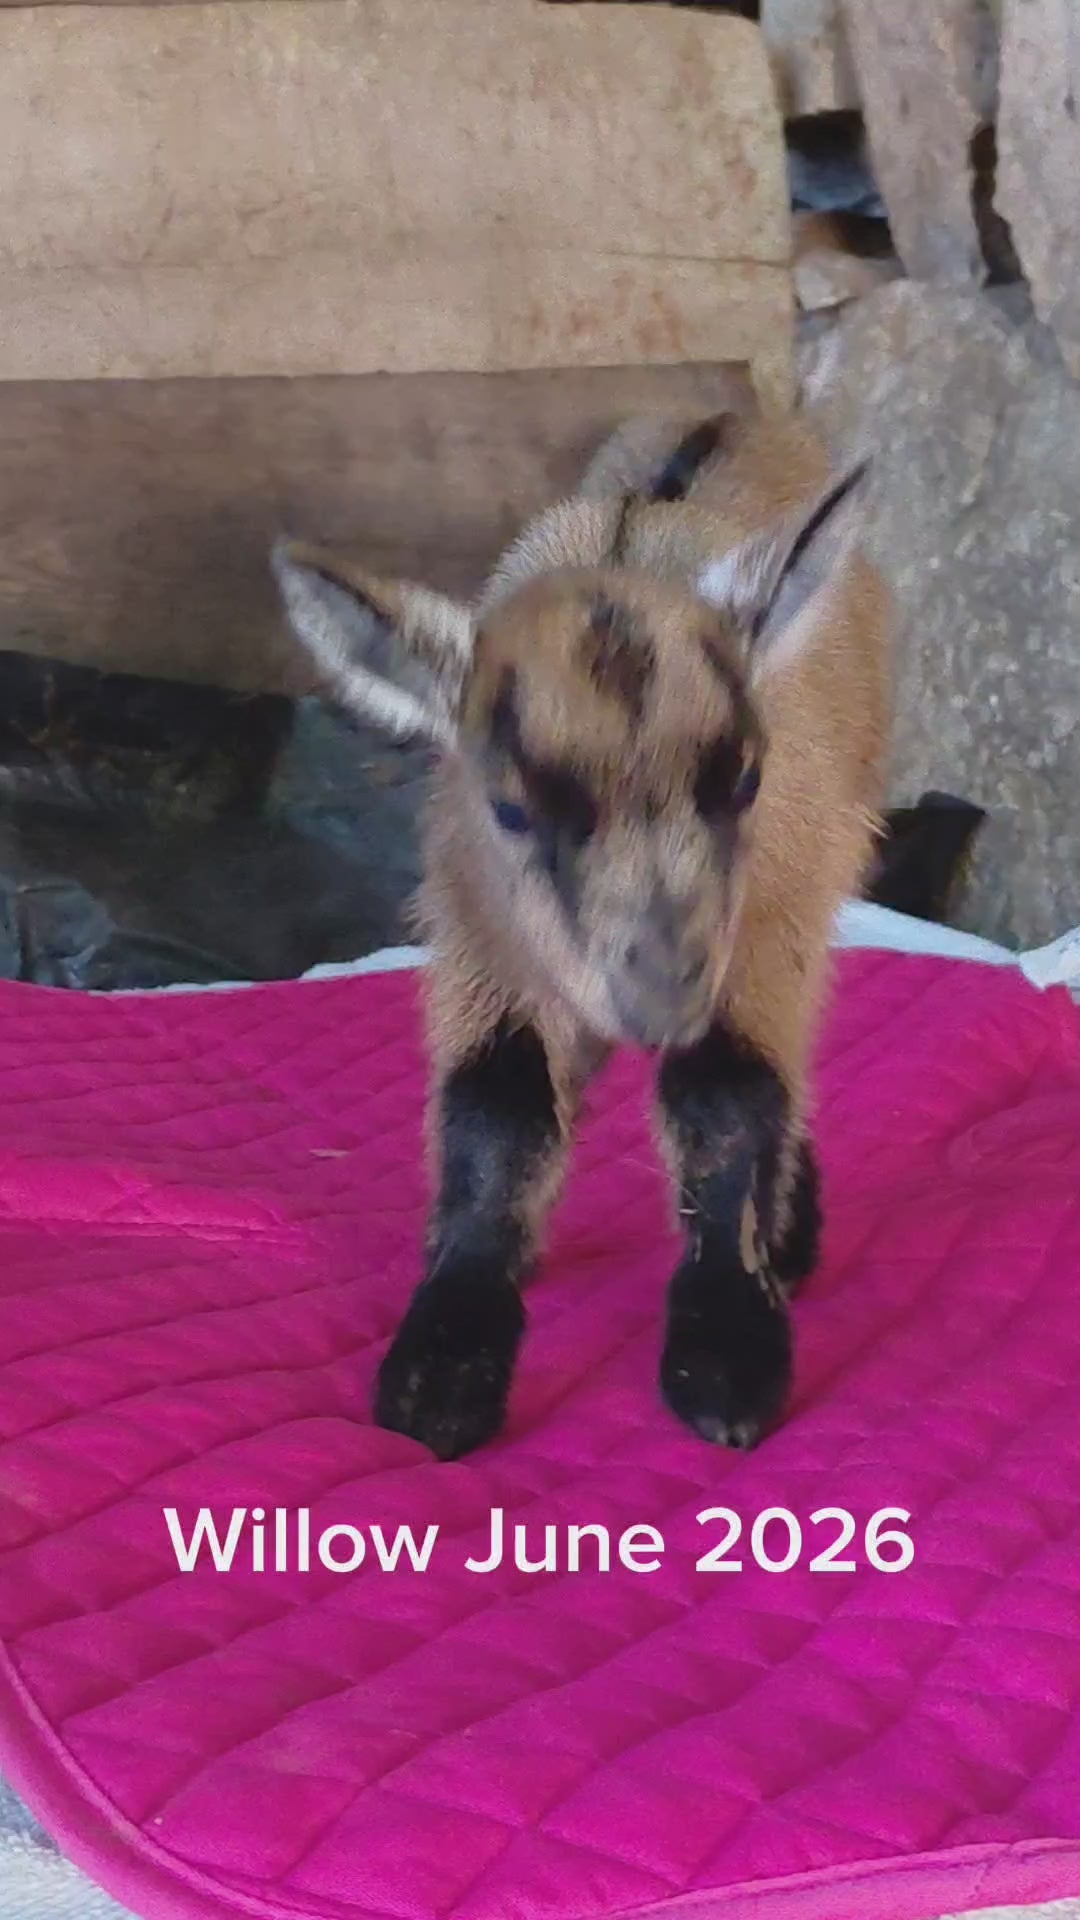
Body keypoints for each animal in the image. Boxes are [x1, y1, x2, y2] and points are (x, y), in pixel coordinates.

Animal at [272, 406, 891, 1460]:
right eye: (512, 811)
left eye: (745, 780)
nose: (661, 993)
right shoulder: (483, 940)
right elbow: (498, 1110)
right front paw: (444, 1361)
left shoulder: (768, 922)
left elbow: (730, 1098)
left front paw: (728, 1357)